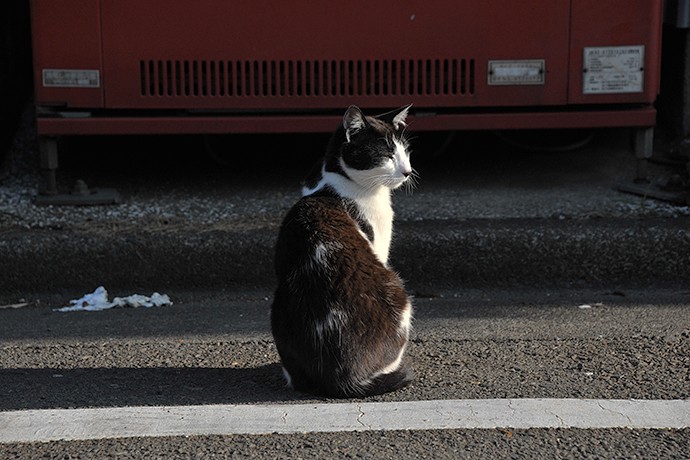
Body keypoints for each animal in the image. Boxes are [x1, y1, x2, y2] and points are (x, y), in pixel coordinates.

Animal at [270, 105, 414, 398]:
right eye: (387, 154)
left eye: (405, 151)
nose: (407, 171)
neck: (334, 184)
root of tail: (342, 377)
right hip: (398, 294)